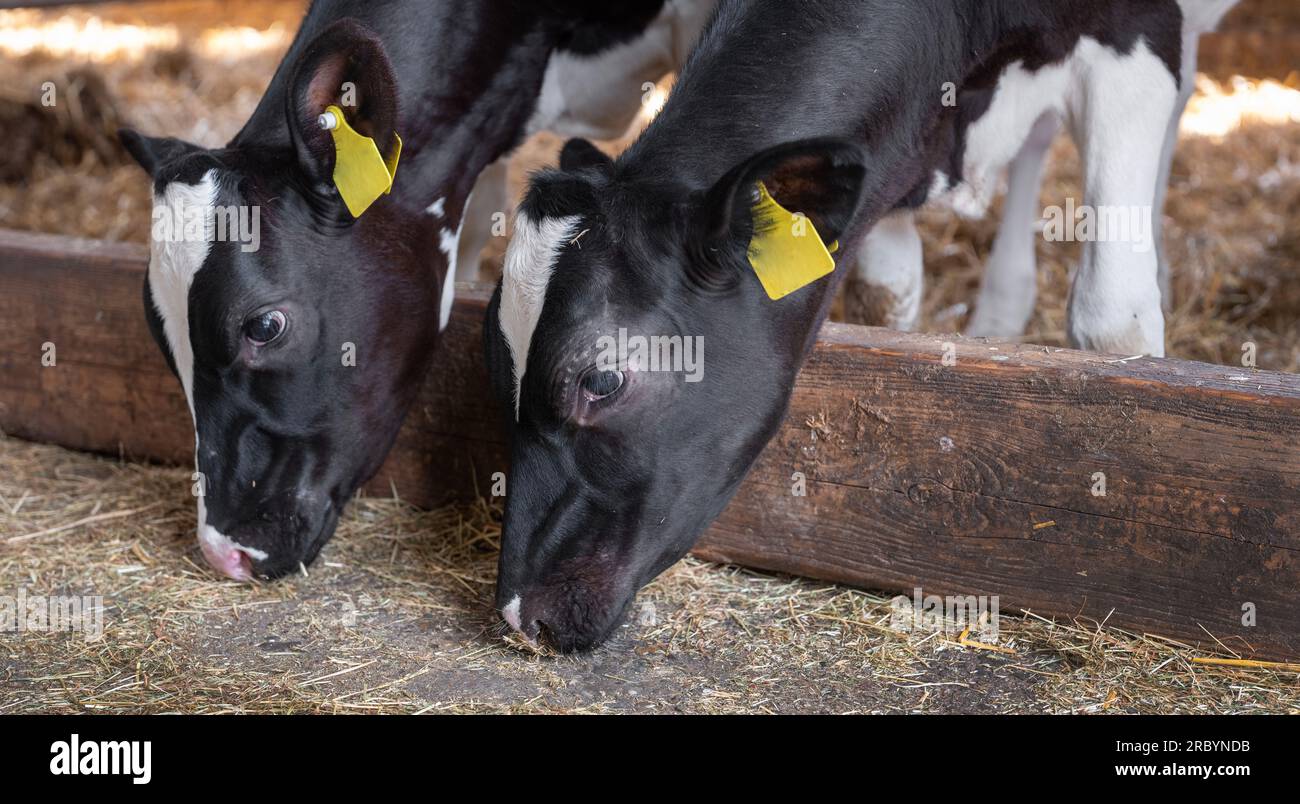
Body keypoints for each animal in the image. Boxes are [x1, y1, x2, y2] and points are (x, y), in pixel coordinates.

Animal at [486, 0, 1237, 651]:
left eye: (601, 380)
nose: (521, 616)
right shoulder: (898, 149)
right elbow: (887, 291)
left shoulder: (1134, 37)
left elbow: (1114, 322)